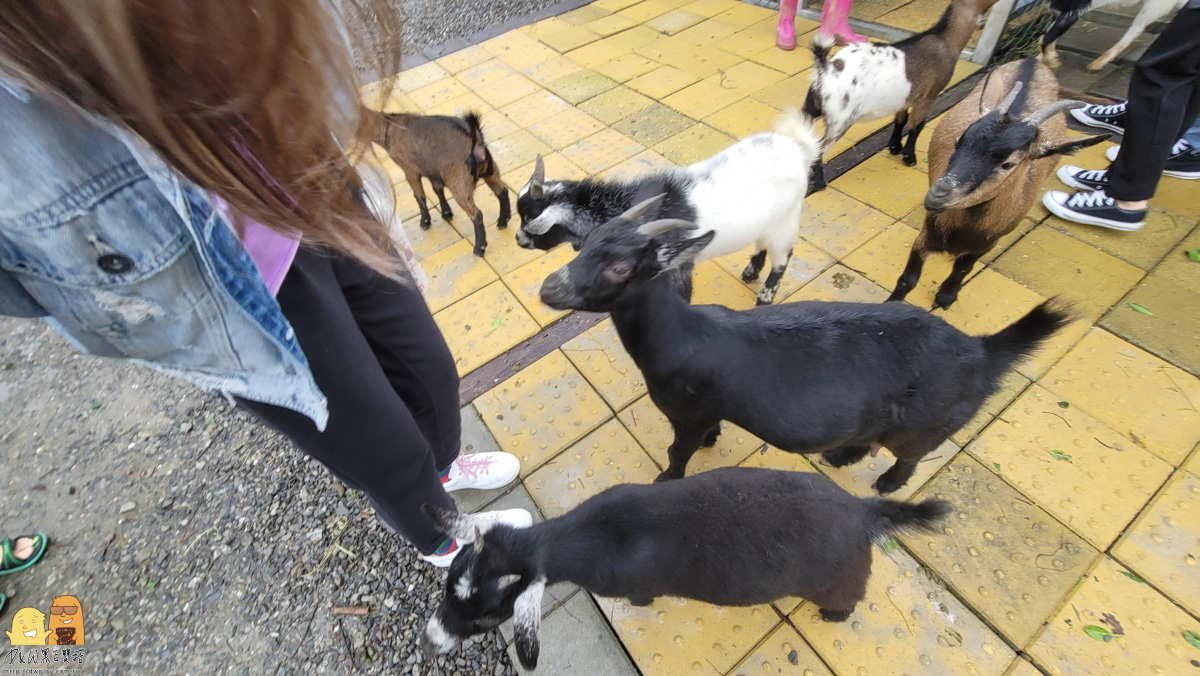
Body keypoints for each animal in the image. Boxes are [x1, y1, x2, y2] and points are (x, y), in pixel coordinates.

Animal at [422, 468, 945, 667]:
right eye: (447, 586)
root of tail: (863, 511)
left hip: (838, 579)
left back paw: (834, 616)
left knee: (848, 596)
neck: (589, 536)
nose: (429, 642)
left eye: (490, 617)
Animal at [516, 110, 825, 303]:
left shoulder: (676, 267)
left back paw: (766, 295)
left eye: (530, 221)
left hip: (786, 221)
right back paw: (751, 272)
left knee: (783, 256)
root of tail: (799, 149)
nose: (519, 240)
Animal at [540, 195, 1075, 492]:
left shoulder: (685, 412)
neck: (680, 336)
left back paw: (885, 484)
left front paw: (665, 479)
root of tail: (982, 352)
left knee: (909, 456)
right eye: (585, 245)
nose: (548, 289)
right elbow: (712, 429)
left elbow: (678, 452)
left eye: (620, 267)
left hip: (926, 424)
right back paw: (839, 457)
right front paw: (715, 441)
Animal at [806, 0, 1003, 192]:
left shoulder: (905, 98)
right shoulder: (928, 95)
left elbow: (901, 119)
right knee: (820, 146)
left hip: (810, 110)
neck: (944, 40)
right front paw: (909, 157)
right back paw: (820, 183)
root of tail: (825, 70)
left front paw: (895, 147)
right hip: (840, 119)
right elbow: (917, 125)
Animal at [888, 58, 1108, 309]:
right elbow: (908, 279)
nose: (938, 194)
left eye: (1008, 164)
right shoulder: (927, 234)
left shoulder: (986, 245)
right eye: (958, 142)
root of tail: (1033, 61)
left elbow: (964, 268)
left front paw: (946, 295)